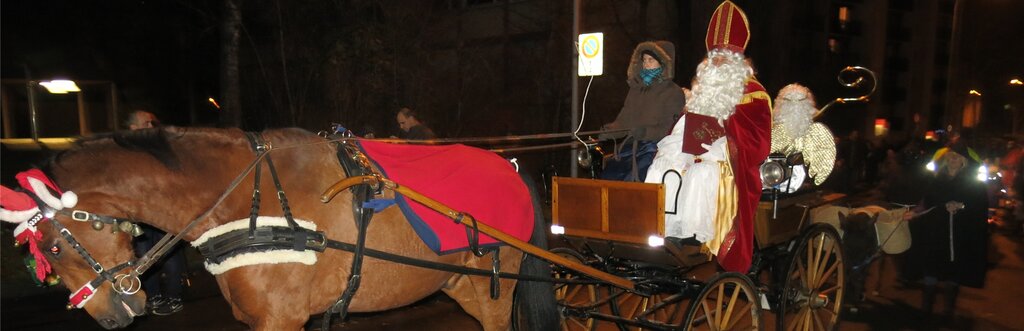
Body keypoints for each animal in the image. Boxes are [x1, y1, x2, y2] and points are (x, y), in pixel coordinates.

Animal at [19, 126, 557, 329]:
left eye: (53, 249)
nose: (111, 317)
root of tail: (510, 166)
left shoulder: (281, 318)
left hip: (495, 285)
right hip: (459, 283)